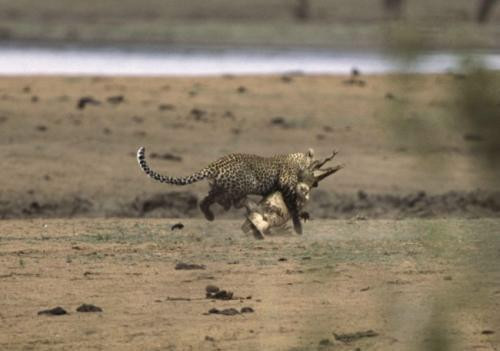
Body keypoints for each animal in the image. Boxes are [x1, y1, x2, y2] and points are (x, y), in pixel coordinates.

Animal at [136, 147, 316, 235]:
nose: (314, 181)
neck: (297, 160)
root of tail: (215, 164)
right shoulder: (286, 186)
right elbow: (292, 206)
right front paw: (299, 228)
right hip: (244, 182)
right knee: (226, 199)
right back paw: (235, 205)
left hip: (219, 184)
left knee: (207, 199)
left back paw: (210, 215)